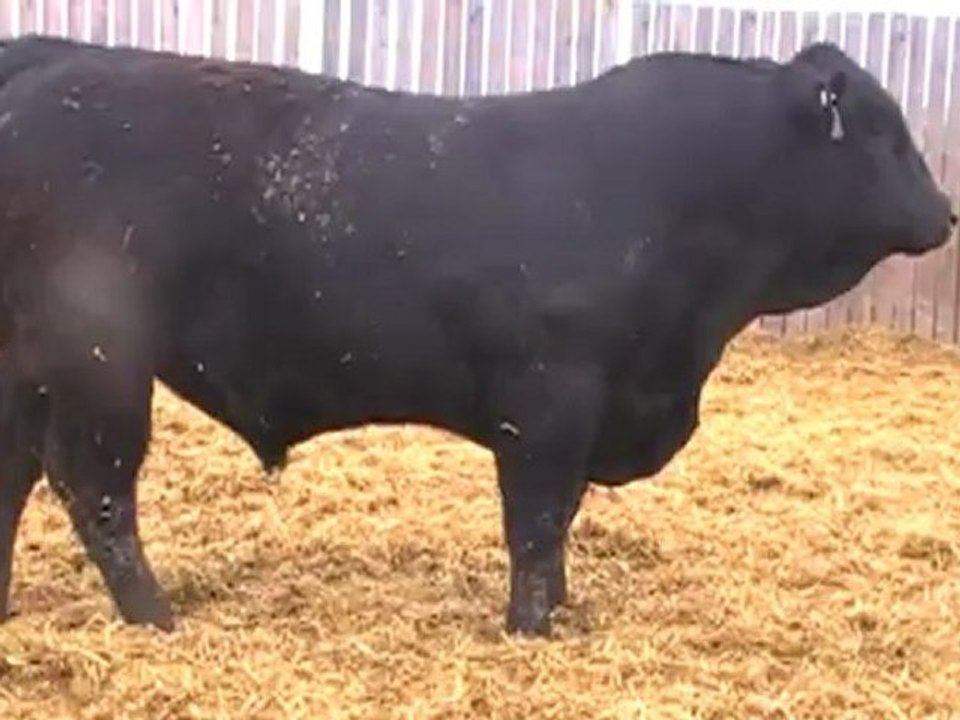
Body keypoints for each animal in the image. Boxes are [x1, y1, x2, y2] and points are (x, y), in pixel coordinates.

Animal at [0, 34, 954, 637]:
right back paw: (156, 618)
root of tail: (50, 57)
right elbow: (536, 520)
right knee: (95, 488)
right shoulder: (549, 398)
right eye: (879, 131)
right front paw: (531, 627)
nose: (945, 212)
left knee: (15, 478)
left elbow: (560, 519)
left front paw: (561, 611)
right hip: (101, 367)